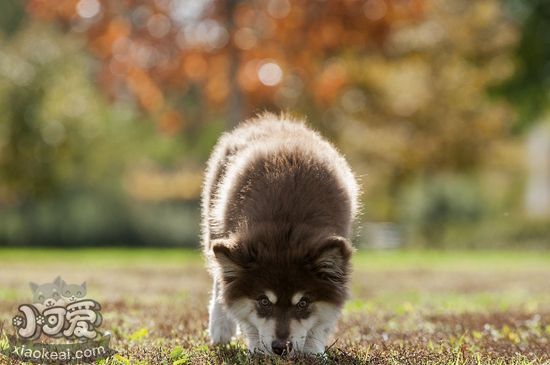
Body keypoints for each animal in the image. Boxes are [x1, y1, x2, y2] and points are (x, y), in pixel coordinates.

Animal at [201, 112, 360, 354]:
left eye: (303, 303)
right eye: (264, 301)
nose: (280, 347)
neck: (285, 230)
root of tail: (272, 119)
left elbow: (321, 323)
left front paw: (313, 349)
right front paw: (257, 347)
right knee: (220, 280)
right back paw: (220, 327)